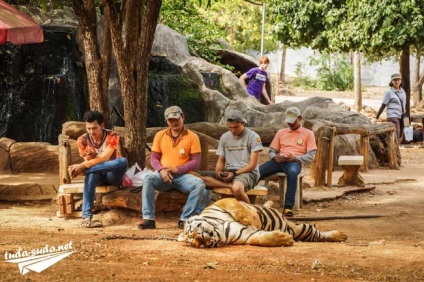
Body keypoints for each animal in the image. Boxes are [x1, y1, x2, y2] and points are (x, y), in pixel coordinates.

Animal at [177, 197, 346, 248]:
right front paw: (283, 239)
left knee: (320, 233)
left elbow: (236, 206)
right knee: (316, 235)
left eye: (193, 232)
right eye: (196, 242)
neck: (220, 231)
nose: (200, 239)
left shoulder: (220, 203)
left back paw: (341, 235)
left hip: (302, 227)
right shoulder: (247, 236)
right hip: (302, 232)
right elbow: (261, 238)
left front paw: (248, 218)